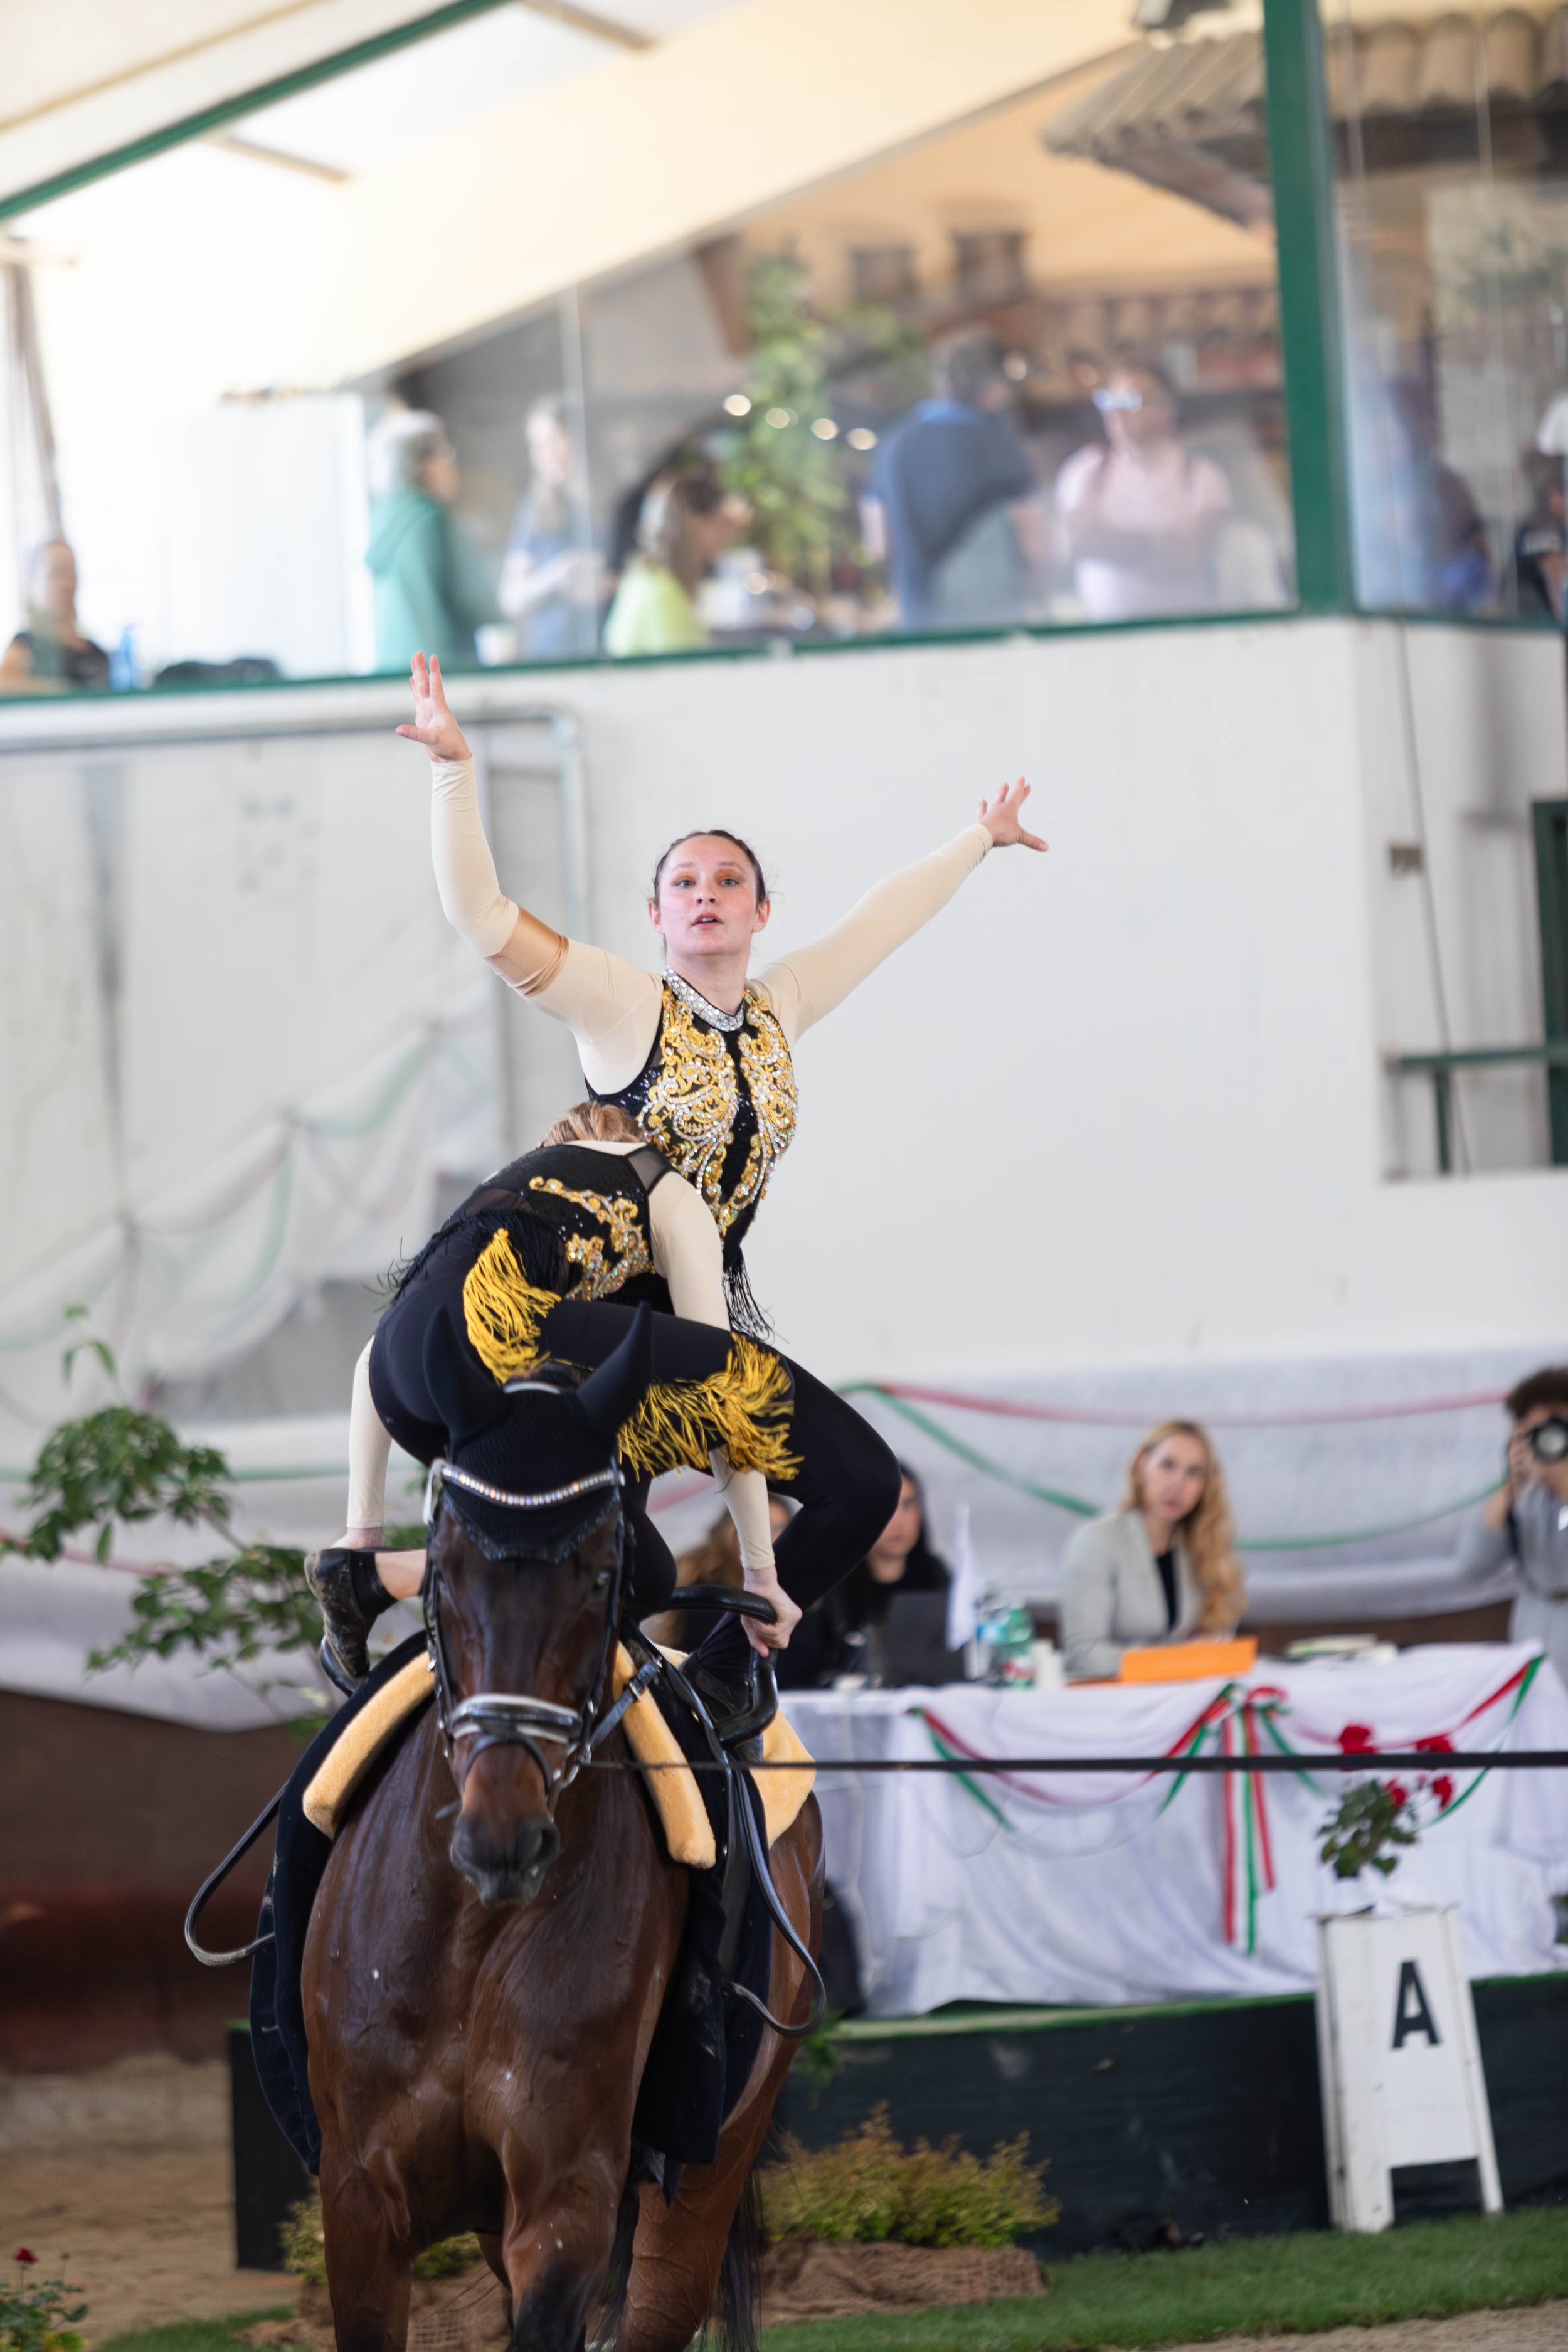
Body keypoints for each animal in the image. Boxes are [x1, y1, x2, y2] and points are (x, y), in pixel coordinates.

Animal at [301, 1307, 824, 2352]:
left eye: (600, 1576)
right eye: (446, 1568)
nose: (505, 1837)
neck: (469, 1932)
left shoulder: (565, 2199)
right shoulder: (359, 2194)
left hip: (707, 2170)